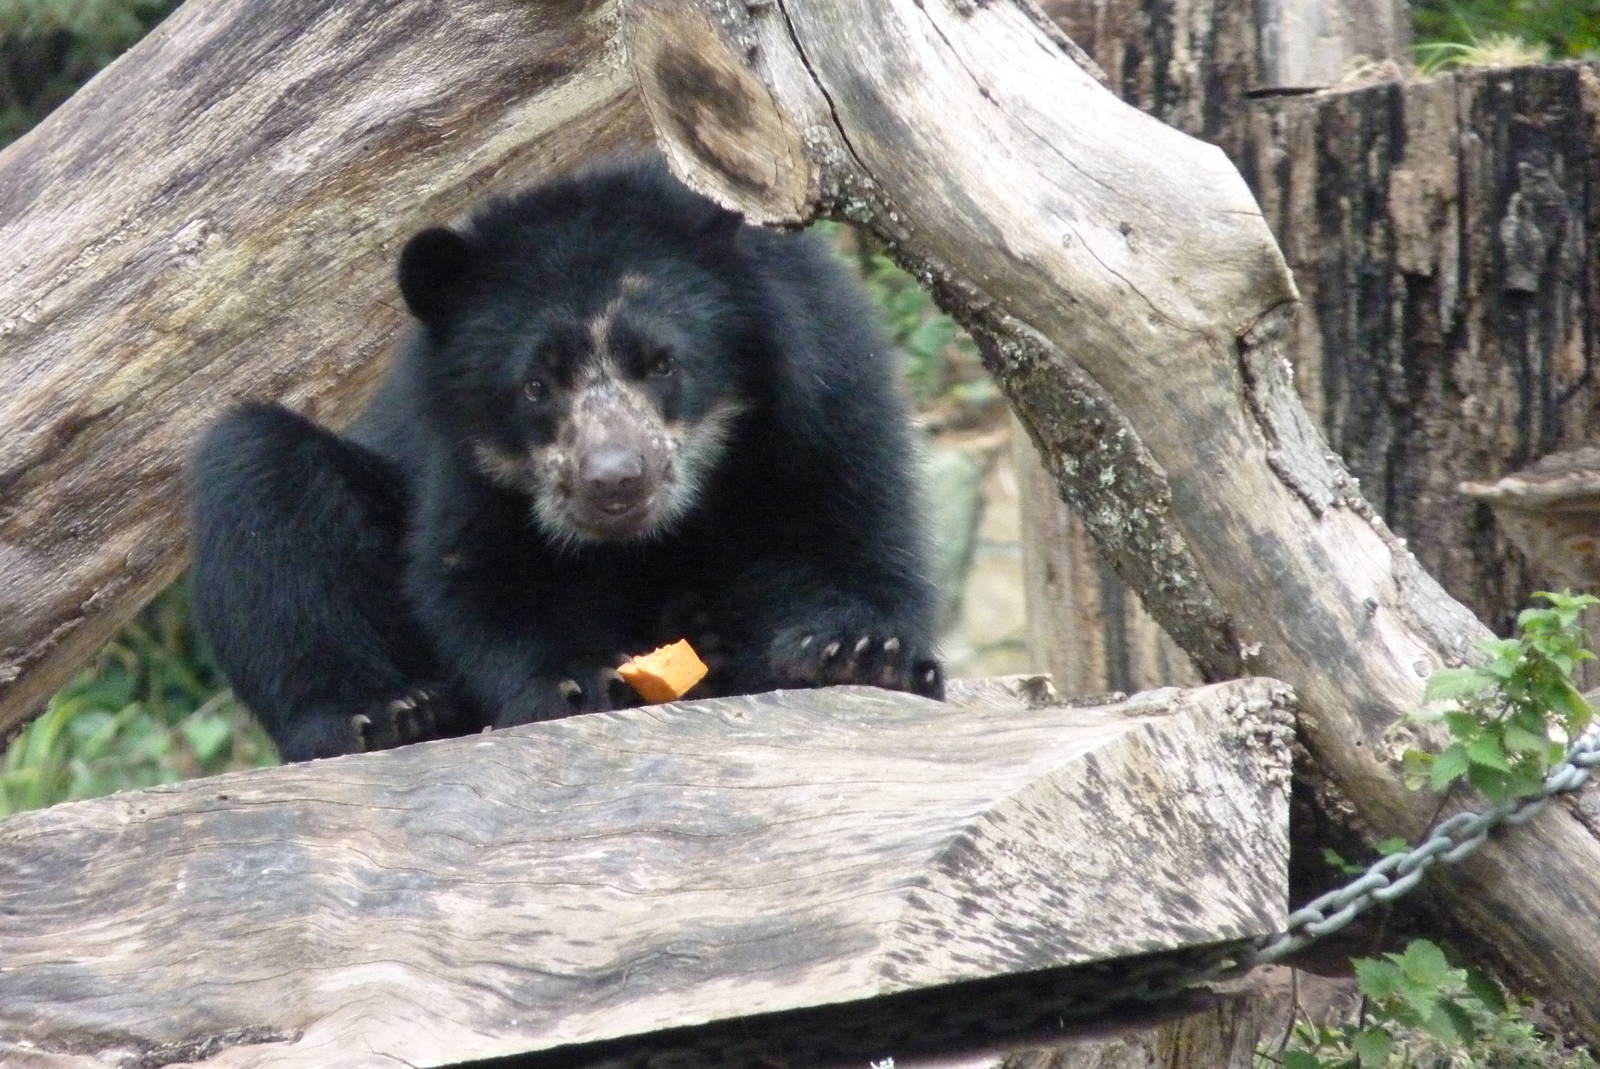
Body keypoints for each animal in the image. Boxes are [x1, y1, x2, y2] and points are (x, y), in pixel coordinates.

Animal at [190, 155, 943, 763]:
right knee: (257, 477)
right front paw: (580, 678)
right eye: (535, 385)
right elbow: (488, 575)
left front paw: (852, 649)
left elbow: (838, 508)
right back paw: (387, 714)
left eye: (662, 362)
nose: (615, 480)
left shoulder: (821, 377)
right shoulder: (463, 459)